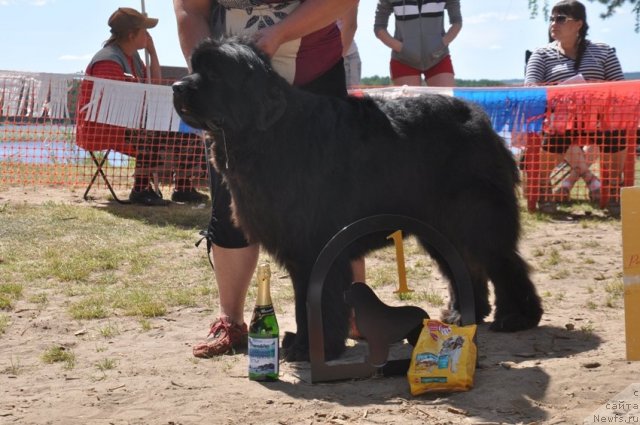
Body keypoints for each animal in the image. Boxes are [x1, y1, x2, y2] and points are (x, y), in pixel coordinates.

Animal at [172, 37, 544, 362]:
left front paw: (312, 348)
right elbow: (305, 301)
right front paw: (304, 344)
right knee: (466, 264)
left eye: (215, 73)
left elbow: (314, 301)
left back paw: (517, 317)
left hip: (474, 216)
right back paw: (462, 313)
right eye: (194, 67)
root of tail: (481, 120)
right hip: (439, 227)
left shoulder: (313, 246)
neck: (267, 134)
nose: (176, 86)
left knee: (505, 263)